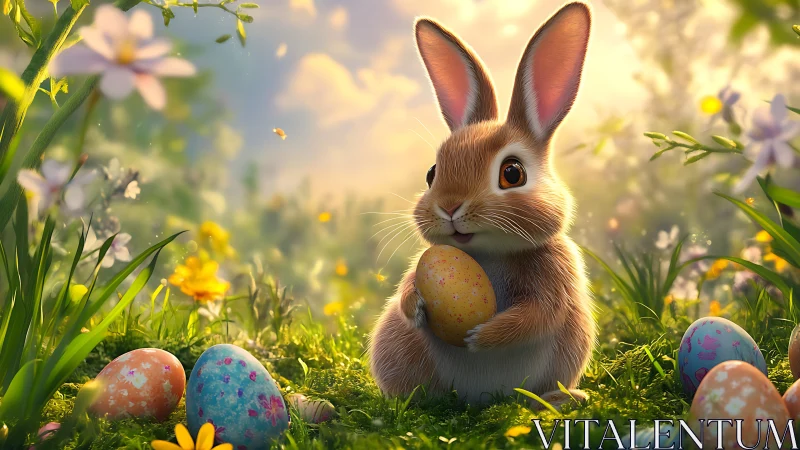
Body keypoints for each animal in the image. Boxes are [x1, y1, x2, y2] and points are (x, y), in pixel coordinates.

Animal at [368, 2, 596, 409]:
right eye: (432, 173)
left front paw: (481, 336)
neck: (489, 253)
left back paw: (562, 397)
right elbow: (409, 287)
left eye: (512, 172)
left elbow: (538, 314)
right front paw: (416, 308)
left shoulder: (555, 278)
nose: (450, 208)